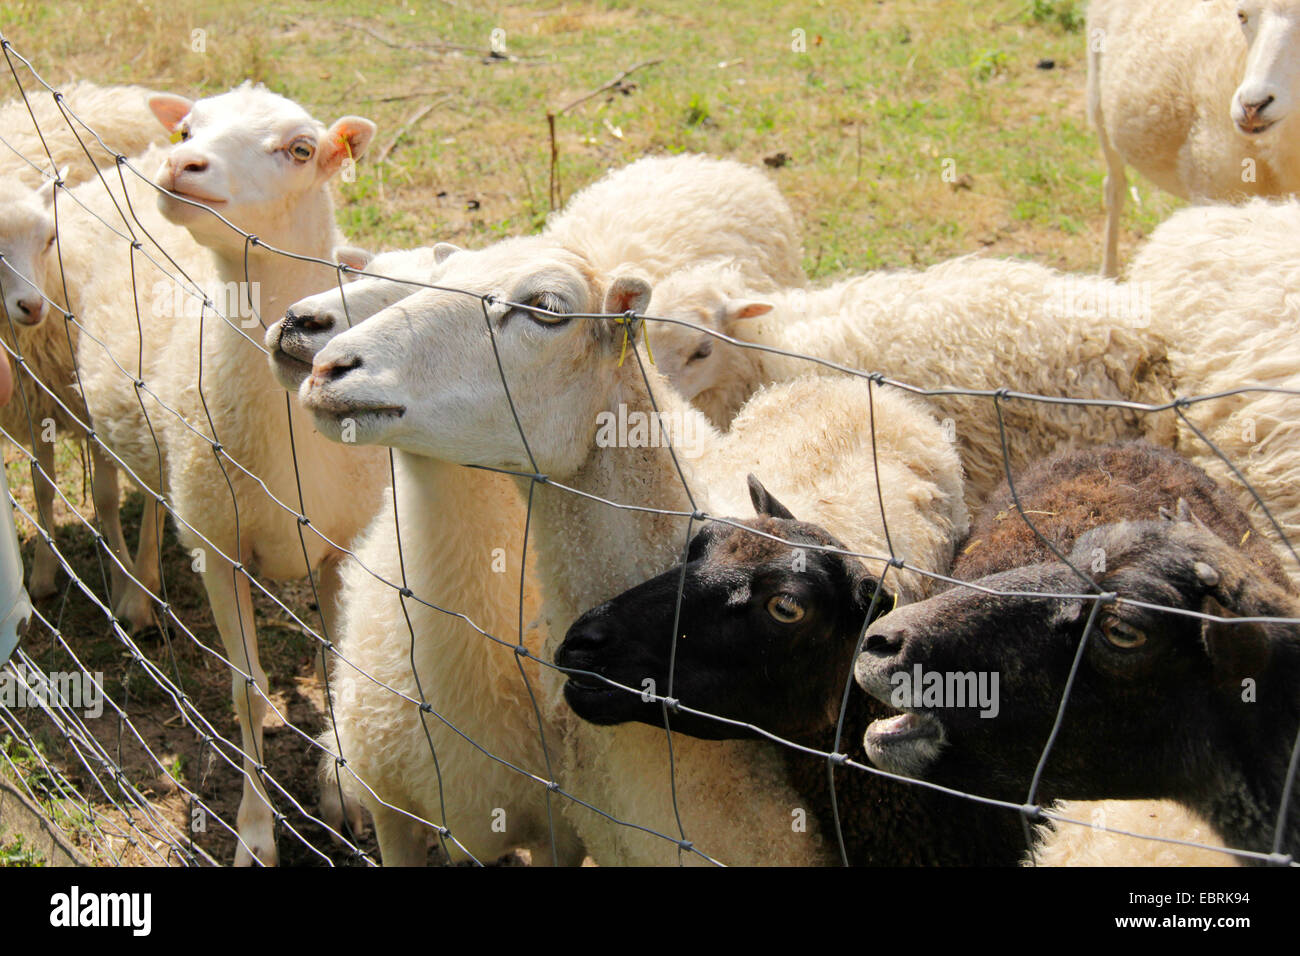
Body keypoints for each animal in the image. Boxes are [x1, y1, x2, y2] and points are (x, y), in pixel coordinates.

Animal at [69, 83, 387, 868]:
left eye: (301, 149)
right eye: (190, 127)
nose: (182, 163)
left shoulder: (342, 549)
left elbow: (336, 668)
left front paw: (341, 792)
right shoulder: (220, 550)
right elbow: (243, 694)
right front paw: (255, 834)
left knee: (157, 492)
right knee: (114, 489)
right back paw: (133, 594)